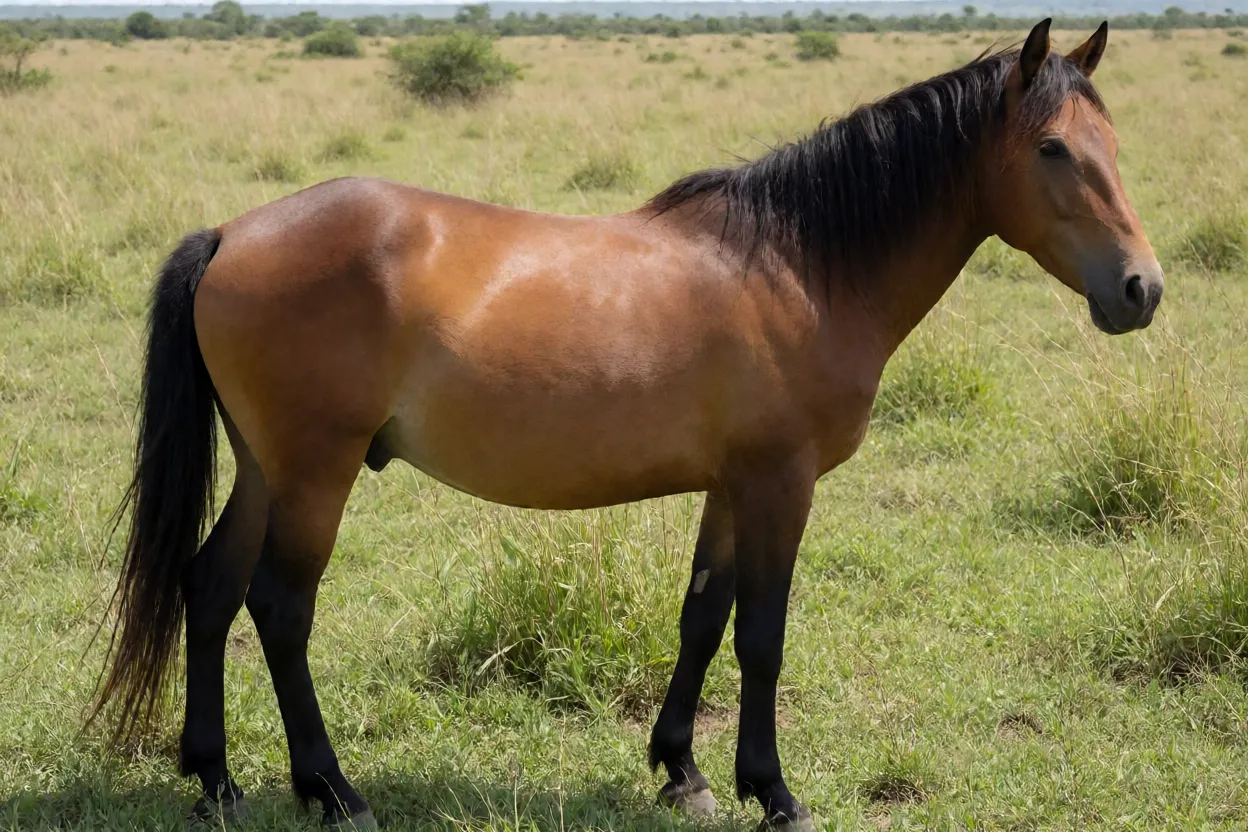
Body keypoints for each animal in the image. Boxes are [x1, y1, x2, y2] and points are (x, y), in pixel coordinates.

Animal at [90, 18, 1162, 831]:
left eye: (1116, 146)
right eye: (1053, 149)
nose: (1140, 290)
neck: (802, 265)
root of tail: (233, 233)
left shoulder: (733, 485)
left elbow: (702, 617)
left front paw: (683, 770)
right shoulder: (780, 483)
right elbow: (762, 635)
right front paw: (775, 793)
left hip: (265, 466)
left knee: (209, 587)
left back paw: (217, 781)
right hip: (317, 470)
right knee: (279, 607)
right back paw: (332, 788)